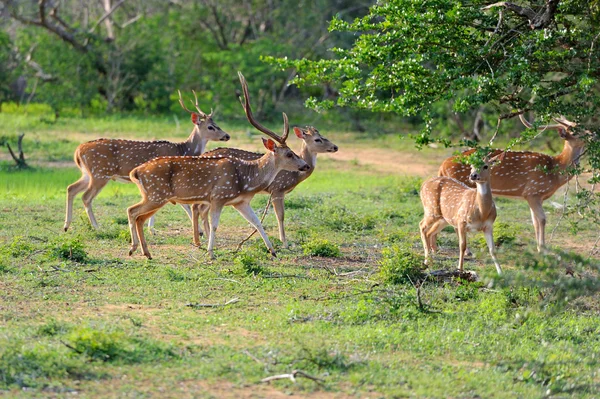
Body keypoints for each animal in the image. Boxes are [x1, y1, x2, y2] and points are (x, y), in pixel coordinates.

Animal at [62, 92, 229, 233]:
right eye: (210, 127)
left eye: (217, 123)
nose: (227, 135)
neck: (183, 150)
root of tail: (78, 151)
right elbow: (184, 204)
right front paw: (199, 231)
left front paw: (151, 228)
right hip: (100, 173)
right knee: (86, 197)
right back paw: (96, 226)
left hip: (88, 173)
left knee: (71, 188)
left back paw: (66, 225)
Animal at [126, 71, 310, 260]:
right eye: (289, 154)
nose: (305, 166)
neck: (247, 180)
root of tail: (136, 171)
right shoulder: (218, 196)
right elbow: (215, 224)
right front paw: (211, 253)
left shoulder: (240, 202)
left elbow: (257, 222)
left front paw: (272, 251)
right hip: (156, 195)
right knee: (133, 212)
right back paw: (137, 250)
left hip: (153, 196)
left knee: (137, 215)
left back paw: (143, 251)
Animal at [192, 126, 338, 248]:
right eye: (317, 139)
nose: (335, 147)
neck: (295, 176)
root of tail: (202, 155)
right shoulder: (278, 189)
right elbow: (280, 215)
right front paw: (285, 243)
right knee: (198, 207)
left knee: (200, 208)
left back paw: (204, 239)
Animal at [436, 115, 584, 253]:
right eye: (576, 132)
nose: (590, 134)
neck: (555, 171)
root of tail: (442, 165)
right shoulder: (533, 191)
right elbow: (542, 219)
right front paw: (543, 249)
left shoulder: (533, 196)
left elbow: (535, 221)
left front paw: (539, 247)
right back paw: (467, 251)